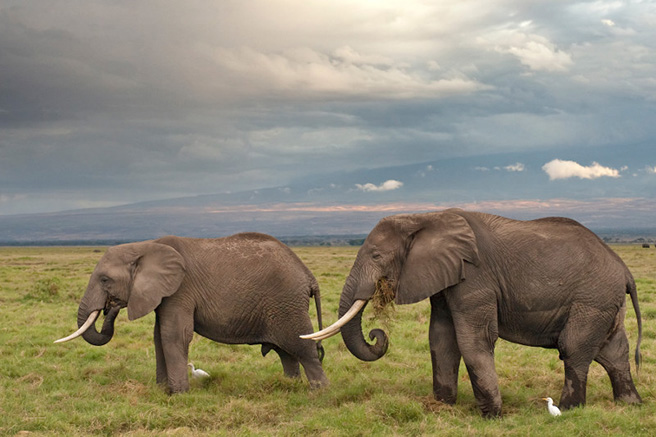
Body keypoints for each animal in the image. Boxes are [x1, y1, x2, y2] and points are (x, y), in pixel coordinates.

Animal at [56, 233, 330, 394]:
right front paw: (163, 391)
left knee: (302, 347)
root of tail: (309, 276)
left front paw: (178, 394)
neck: (145, 247)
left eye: (105, 280)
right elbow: (159, 336)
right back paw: (289, 387)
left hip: (288, 304)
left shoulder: (181, 289)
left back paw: (319, 392)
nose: (110, 307)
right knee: (286, 353)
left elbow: (174, 335)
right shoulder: (166, 294)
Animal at [304, 209, 644, 418]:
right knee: (613, 352)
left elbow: (473, 340)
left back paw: (568, 409)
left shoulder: (474, 277)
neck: (424, 216)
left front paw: (492, 415)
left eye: (376, 256)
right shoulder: (445, 276)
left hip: (592, 300)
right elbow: (441, 338)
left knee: (573, 348)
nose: (378, 334)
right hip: (604, 303)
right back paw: (630, 405)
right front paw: (442, 405)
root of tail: (625, 270)